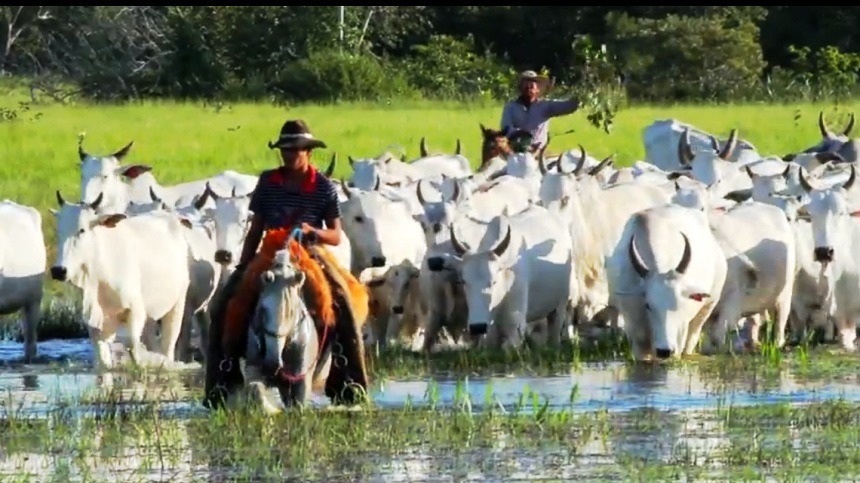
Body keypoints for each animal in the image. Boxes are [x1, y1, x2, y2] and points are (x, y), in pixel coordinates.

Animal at [49, 191, 194, 372]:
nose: (58, 270)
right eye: (58, 231)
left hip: (178, 303)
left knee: (168, 345)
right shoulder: (97, 322)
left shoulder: (135, 310)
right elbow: (104, 360)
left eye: (81, 230)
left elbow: (134, 349)